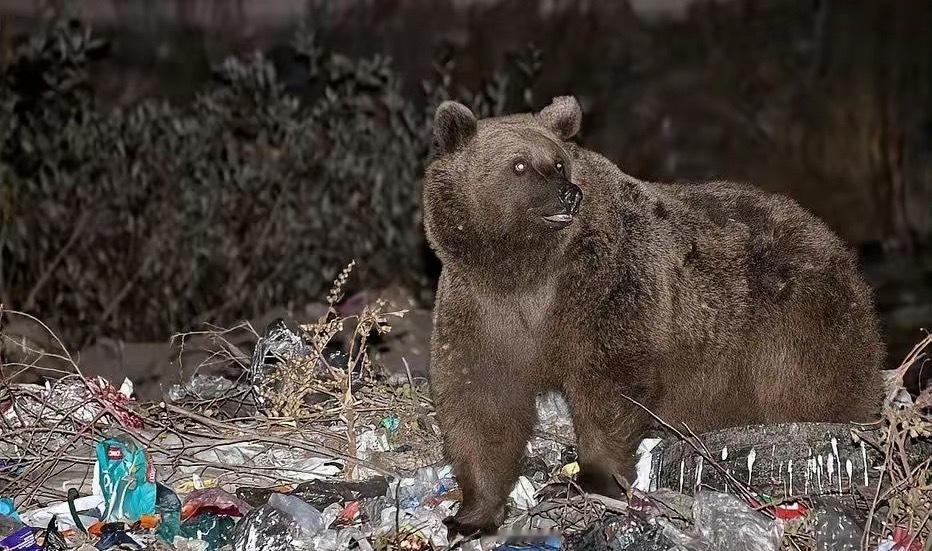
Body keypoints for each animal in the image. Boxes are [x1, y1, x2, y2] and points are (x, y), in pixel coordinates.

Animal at [422, 96, 884, 535]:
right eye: (519, 165)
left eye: (557, 162)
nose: (568, 193)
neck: (527, 270)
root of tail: (833, 240)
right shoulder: (483, 309)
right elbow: (482, 403)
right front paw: (471, 514)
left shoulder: (606, 285)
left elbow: (612, 382)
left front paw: (586, 479)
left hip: (796, 318)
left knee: (816, 385)